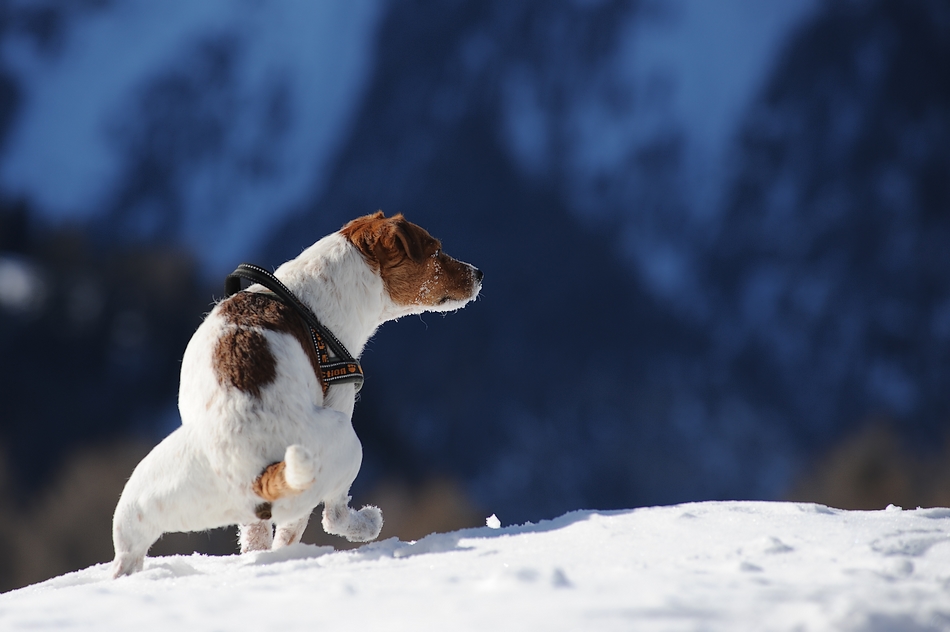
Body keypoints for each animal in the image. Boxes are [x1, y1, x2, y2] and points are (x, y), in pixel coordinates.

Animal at [112, 212, 484, 576]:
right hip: (344, 443)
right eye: (435, 251)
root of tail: (248, 469)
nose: (479, 273)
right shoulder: (339, 399)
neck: (312, 300)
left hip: (141, 501)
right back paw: (364, 524)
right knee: (330, 517)